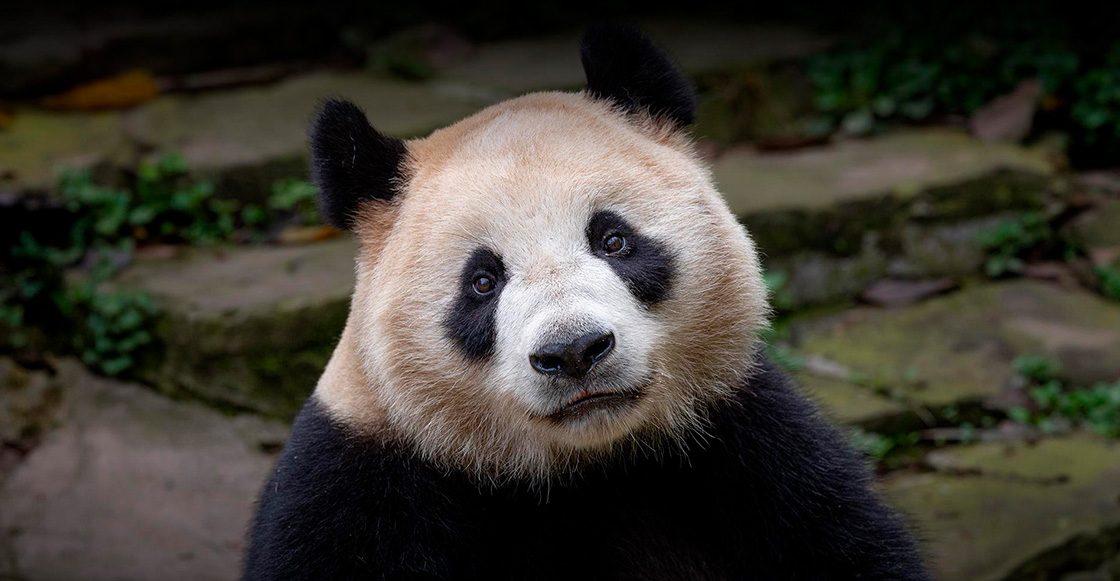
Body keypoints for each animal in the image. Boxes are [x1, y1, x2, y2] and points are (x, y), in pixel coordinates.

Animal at [243, 23, 927, 581]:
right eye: (483, 281)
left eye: (613, 239)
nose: (574, 351)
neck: (585, 466)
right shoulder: (361, 483)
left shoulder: (750, 444)